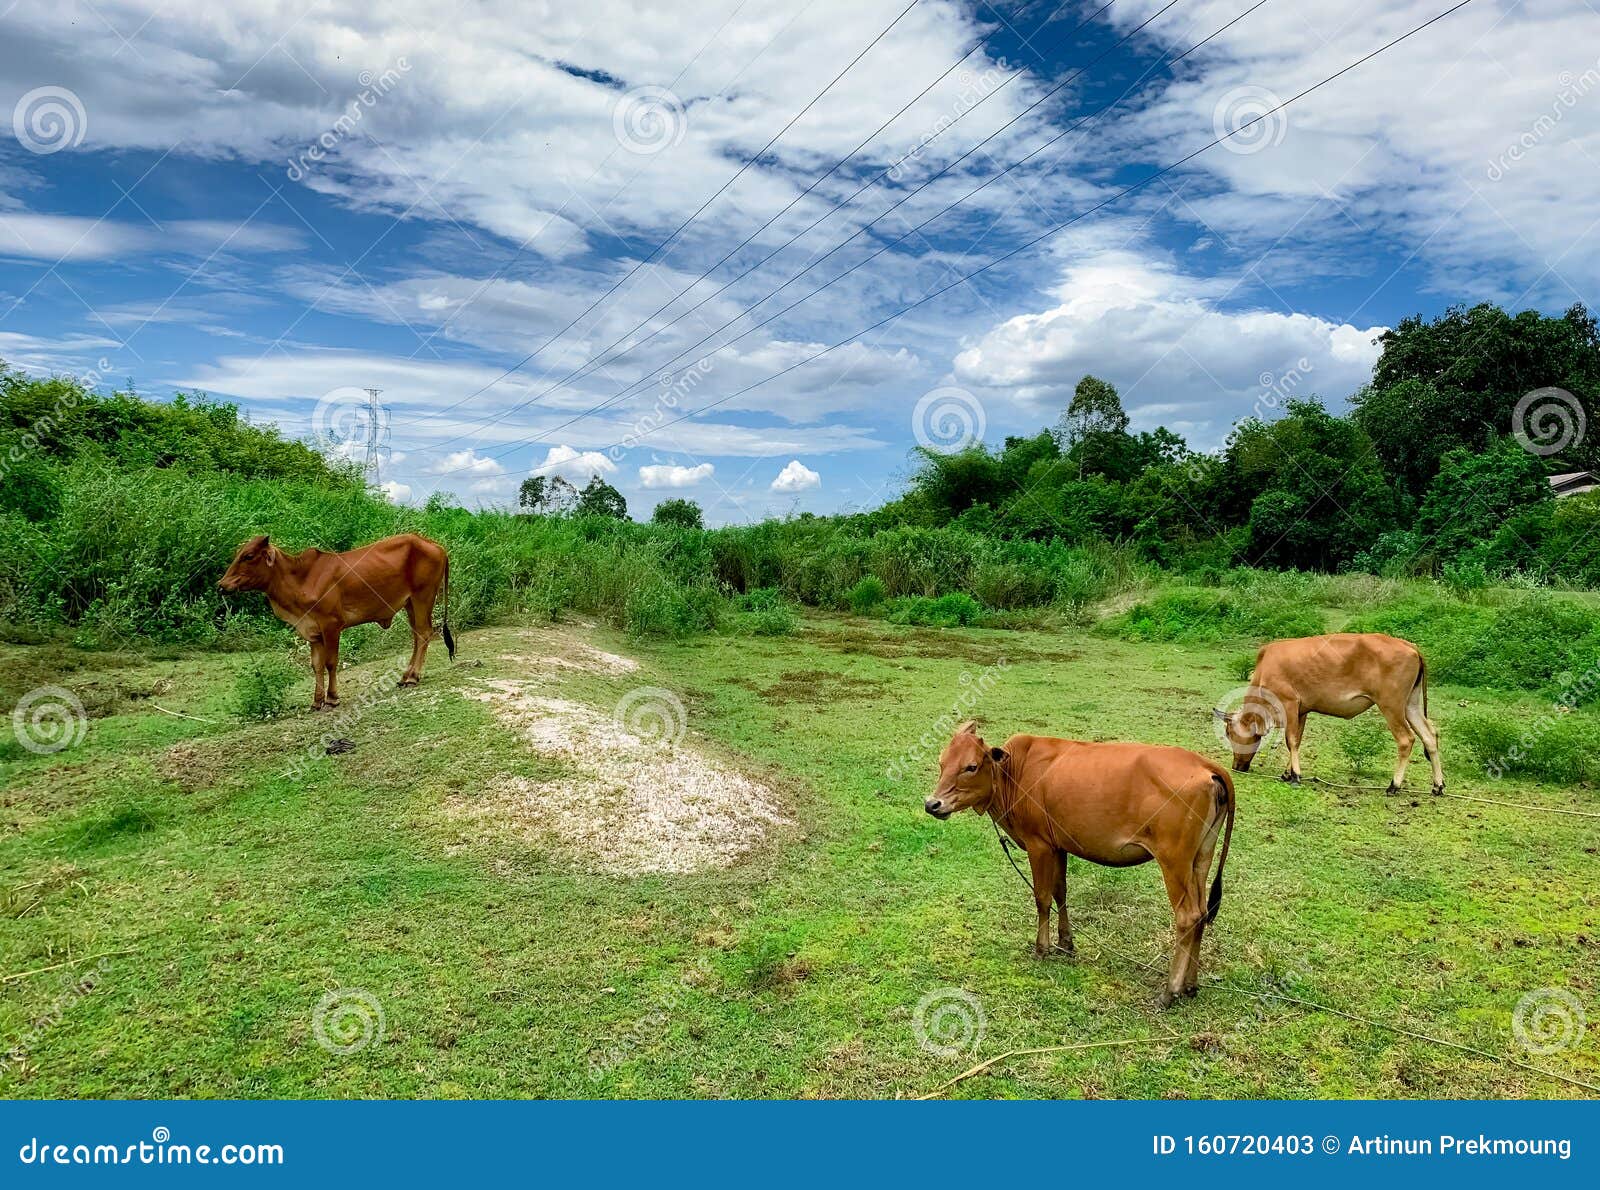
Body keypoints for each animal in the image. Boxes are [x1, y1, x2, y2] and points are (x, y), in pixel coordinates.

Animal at [212, 531, 451, 706]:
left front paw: (332, 697)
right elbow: (316, 665)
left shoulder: (332, 626)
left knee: (424, 633)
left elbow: (330, 662)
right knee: (417, 636)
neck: (300, 579)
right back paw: (405, 675)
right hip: (410, 603)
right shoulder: (313, 631)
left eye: (248, 556)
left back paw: (412, 677)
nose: (221, 585)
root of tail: (435, 545)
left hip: (423, 597)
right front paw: (316, 701)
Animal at [928, 719, 1235, 1010]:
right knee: (1202, 913)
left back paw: (1170, 991)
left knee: (1188, 916)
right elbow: (1060, 892)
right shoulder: (1059, 846)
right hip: (1200, 859)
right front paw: (1066, 943)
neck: (1015, 772)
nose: (932, 804)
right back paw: (1190, 985)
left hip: (1174, 861)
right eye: (942, 762)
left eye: (971, 766)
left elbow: (1042, 897)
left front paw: (1042, 948)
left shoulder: (1039, 845)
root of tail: (1205, 765)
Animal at [1216, 626, 1446, 793]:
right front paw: (1288, 773)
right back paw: (1438, 785)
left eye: (1229, 733)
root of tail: (1409, 645)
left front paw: (1296, 776)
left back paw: (1394, 785)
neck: (1266, 668)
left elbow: (1290, 740)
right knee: (1429, 735)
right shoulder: (1302, 711)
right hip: (1410, 705)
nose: (1236, 766)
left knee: (1406, 740)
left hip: (1391, 706)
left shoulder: (1289, 704)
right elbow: (1296, 741)